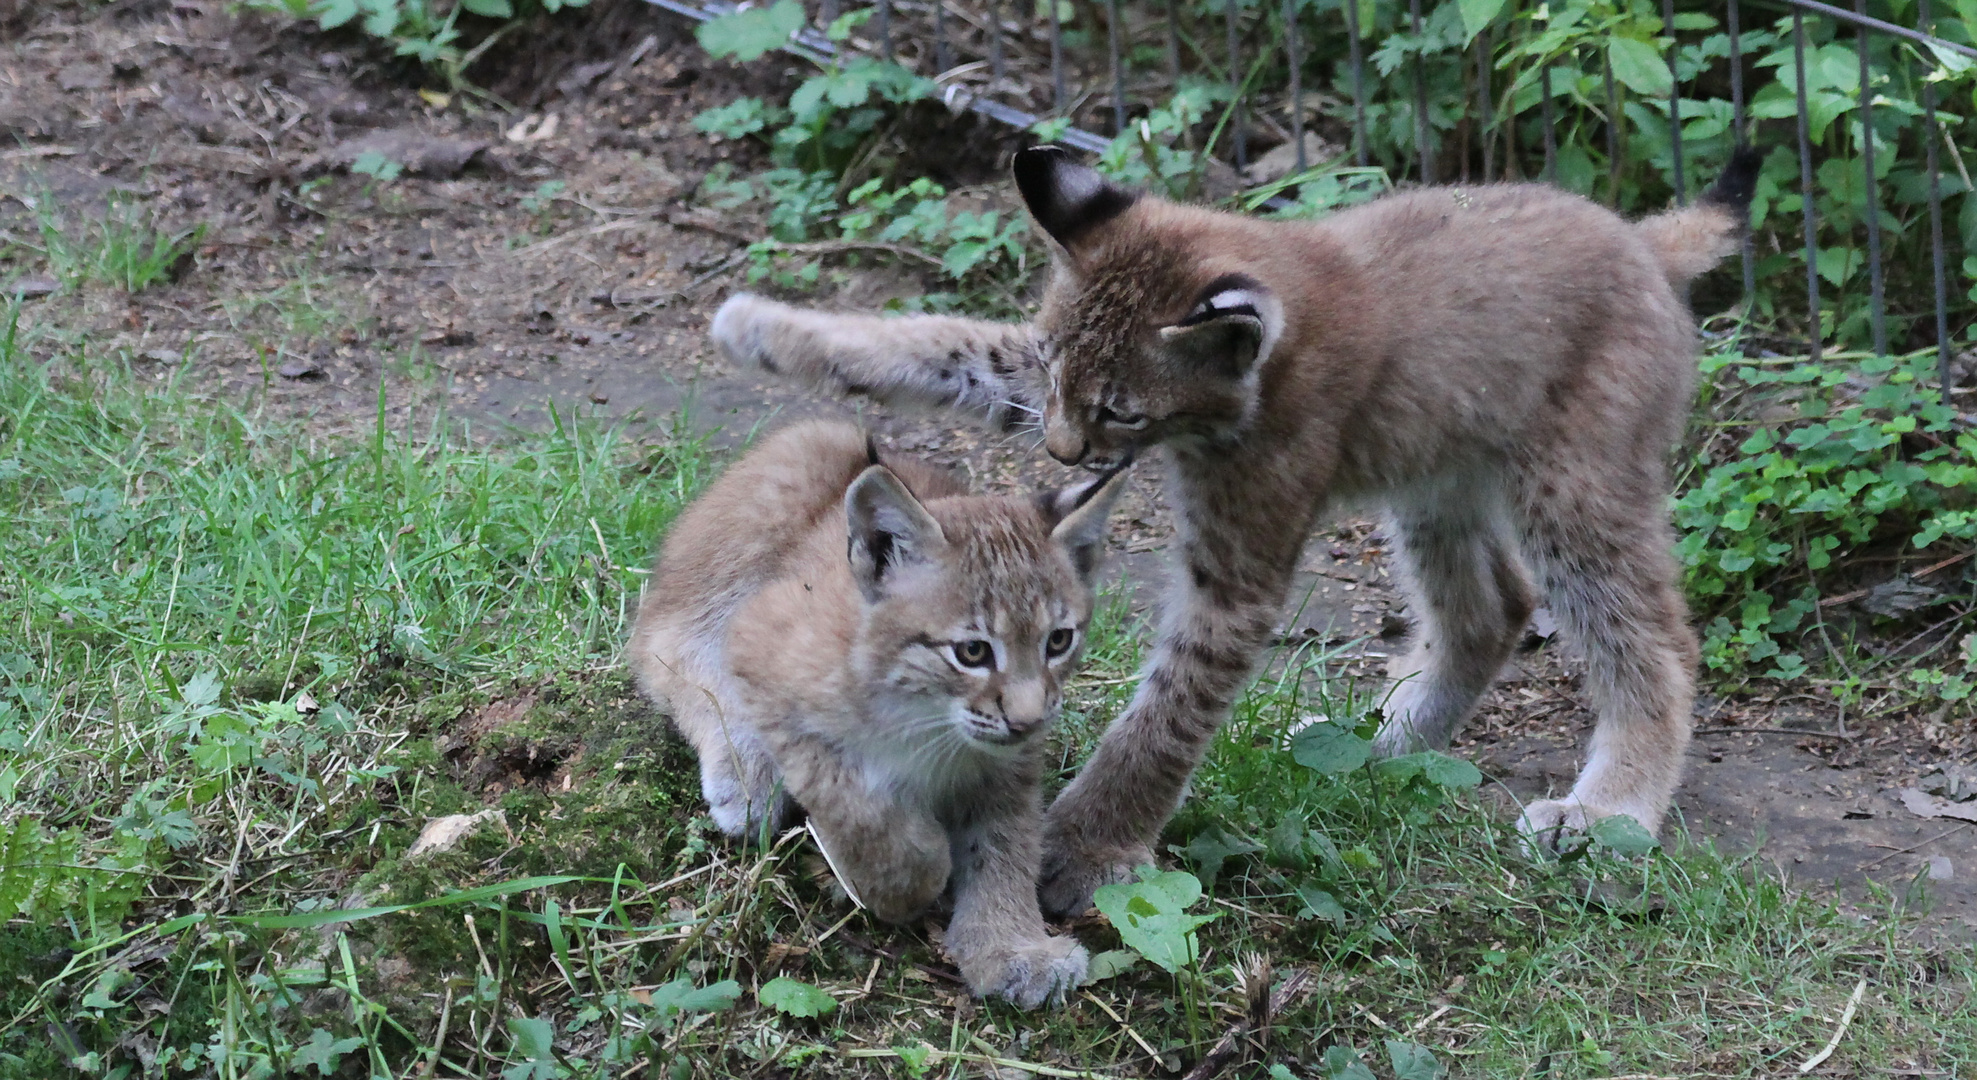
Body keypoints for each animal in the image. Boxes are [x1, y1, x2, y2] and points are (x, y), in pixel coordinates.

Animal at [632, 417, 1130, 1000]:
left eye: (1058, 641)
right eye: (973, 651)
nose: (1028, 721)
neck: (924, 713)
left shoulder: (1007, 759)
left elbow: (1005, 843)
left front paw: (1011, 948)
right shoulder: (760, 643)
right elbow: (852, 798)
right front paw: (912, 878)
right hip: (799, 458)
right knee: (662, 642)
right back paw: (745, 778)